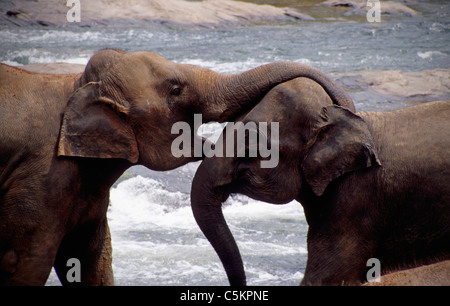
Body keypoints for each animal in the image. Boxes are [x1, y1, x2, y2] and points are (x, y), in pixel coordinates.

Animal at [0, 49, 356, 286]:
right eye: (175, 91)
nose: (336, 107)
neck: (75, 85)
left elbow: (92, 258)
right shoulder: (41, 179)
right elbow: (29, 262)